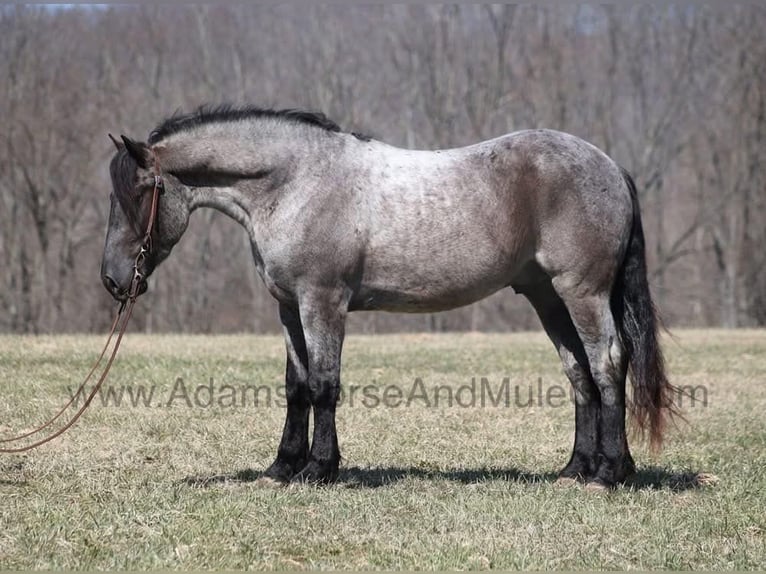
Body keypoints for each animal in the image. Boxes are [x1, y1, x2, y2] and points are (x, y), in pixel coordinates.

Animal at [102, 105, 676, 489]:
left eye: (140, 193)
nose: (113, 279)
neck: (296, 183)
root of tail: (610, 167)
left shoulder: (322, 303)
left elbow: (324, 384)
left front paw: (319, 469)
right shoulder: (288, 308)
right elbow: (296, 386)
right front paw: (281, 467)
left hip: (582, 293)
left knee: (608, 364)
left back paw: (608, 472)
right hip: (547, 298)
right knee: (580, 374)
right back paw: (576, 469)